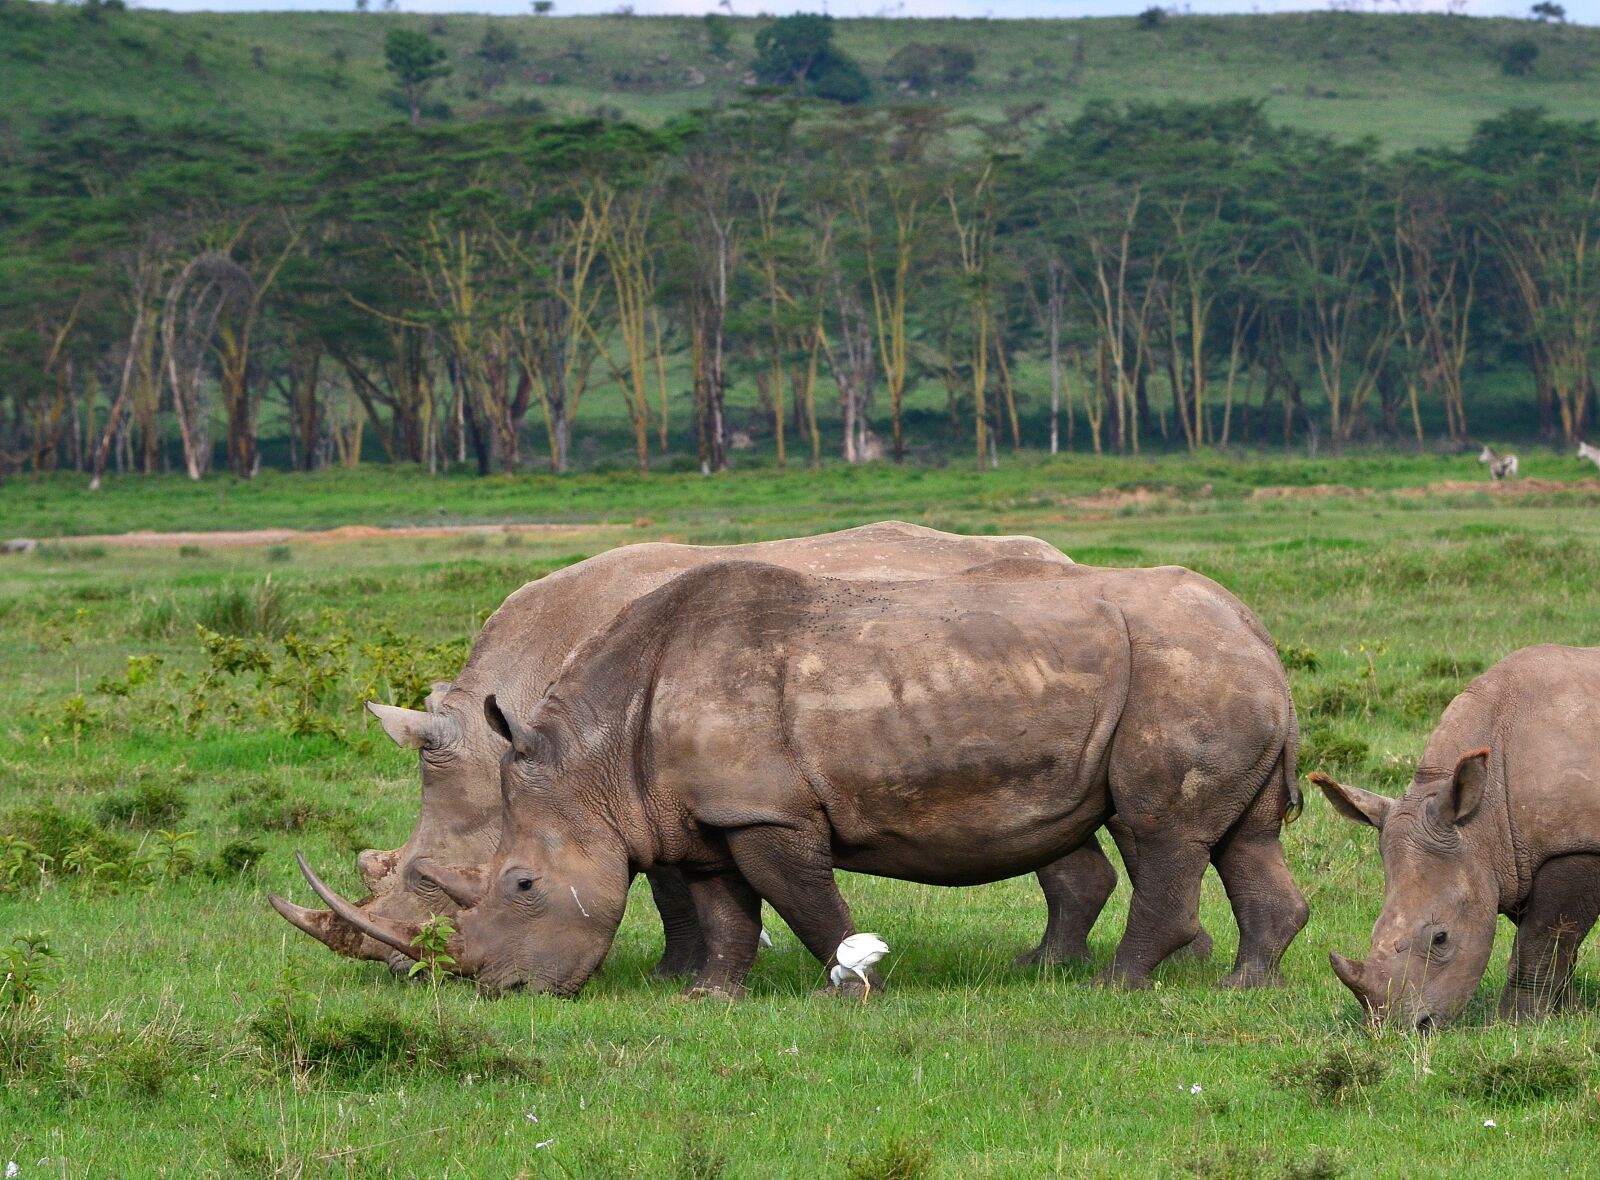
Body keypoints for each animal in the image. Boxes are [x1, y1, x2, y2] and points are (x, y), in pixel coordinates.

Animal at [298, 558, 1307, 997]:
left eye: (519, 885)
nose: (497, 990)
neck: (595, 759)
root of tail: (1259, 631)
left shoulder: (764, 810)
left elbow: (808, 903)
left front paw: (848, 988)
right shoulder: (699, 815)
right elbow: (722, 910)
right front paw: (709, 997)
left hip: (1183, 673)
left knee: (1159, 833)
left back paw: (1115, 988)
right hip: (1211, 669)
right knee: (1243, 836)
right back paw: (1243, 987)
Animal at [1314, 645, 1600, 1030]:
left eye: (1441, 938)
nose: (1401, 1028)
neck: (1485, 819)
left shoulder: (1574, 847)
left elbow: (1541, 939)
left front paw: (1517, 1022)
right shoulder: (1512, 860)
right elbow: (1554, 944)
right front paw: (1568, 1013)